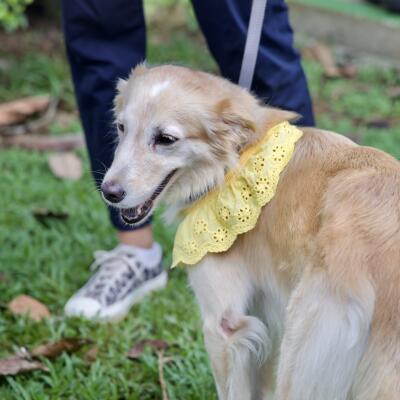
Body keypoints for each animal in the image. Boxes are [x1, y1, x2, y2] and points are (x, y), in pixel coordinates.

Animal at [101, 64, 400, 400]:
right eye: (121, 127)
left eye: (165, 139)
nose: (108, 192)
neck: (235, 157)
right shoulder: (267, 318)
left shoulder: (223, 325)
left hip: (300, 346)